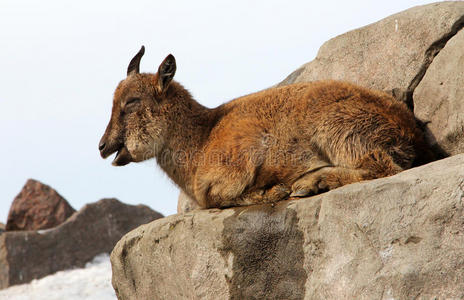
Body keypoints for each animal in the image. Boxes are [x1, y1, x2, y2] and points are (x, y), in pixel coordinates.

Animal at [99, 46, 430, 209]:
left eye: (131, 101)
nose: (103, 146)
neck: (202, 137)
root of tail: (410, 129)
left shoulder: (238, 161)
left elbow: (219, 196)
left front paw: (274, 191)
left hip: (339, 130)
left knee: (384, 167)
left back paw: (312, 182)